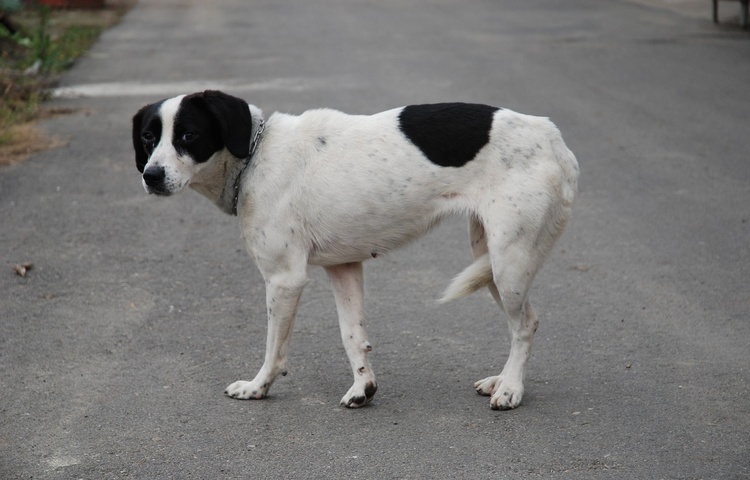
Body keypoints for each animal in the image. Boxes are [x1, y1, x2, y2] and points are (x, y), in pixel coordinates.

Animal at [132, 92, 580, 410]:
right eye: (148, 138)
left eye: (189, 135)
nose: (150, 176)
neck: (255, 155)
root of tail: (553, 139)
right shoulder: (343, 267)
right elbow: (353, 336)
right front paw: (363, 387)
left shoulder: (284, 280)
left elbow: (274, 349)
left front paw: (258, 387)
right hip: (488, 260)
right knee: (520, 322)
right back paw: (500, 380)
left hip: (509, 263)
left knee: (526, 324)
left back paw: (511, 389)